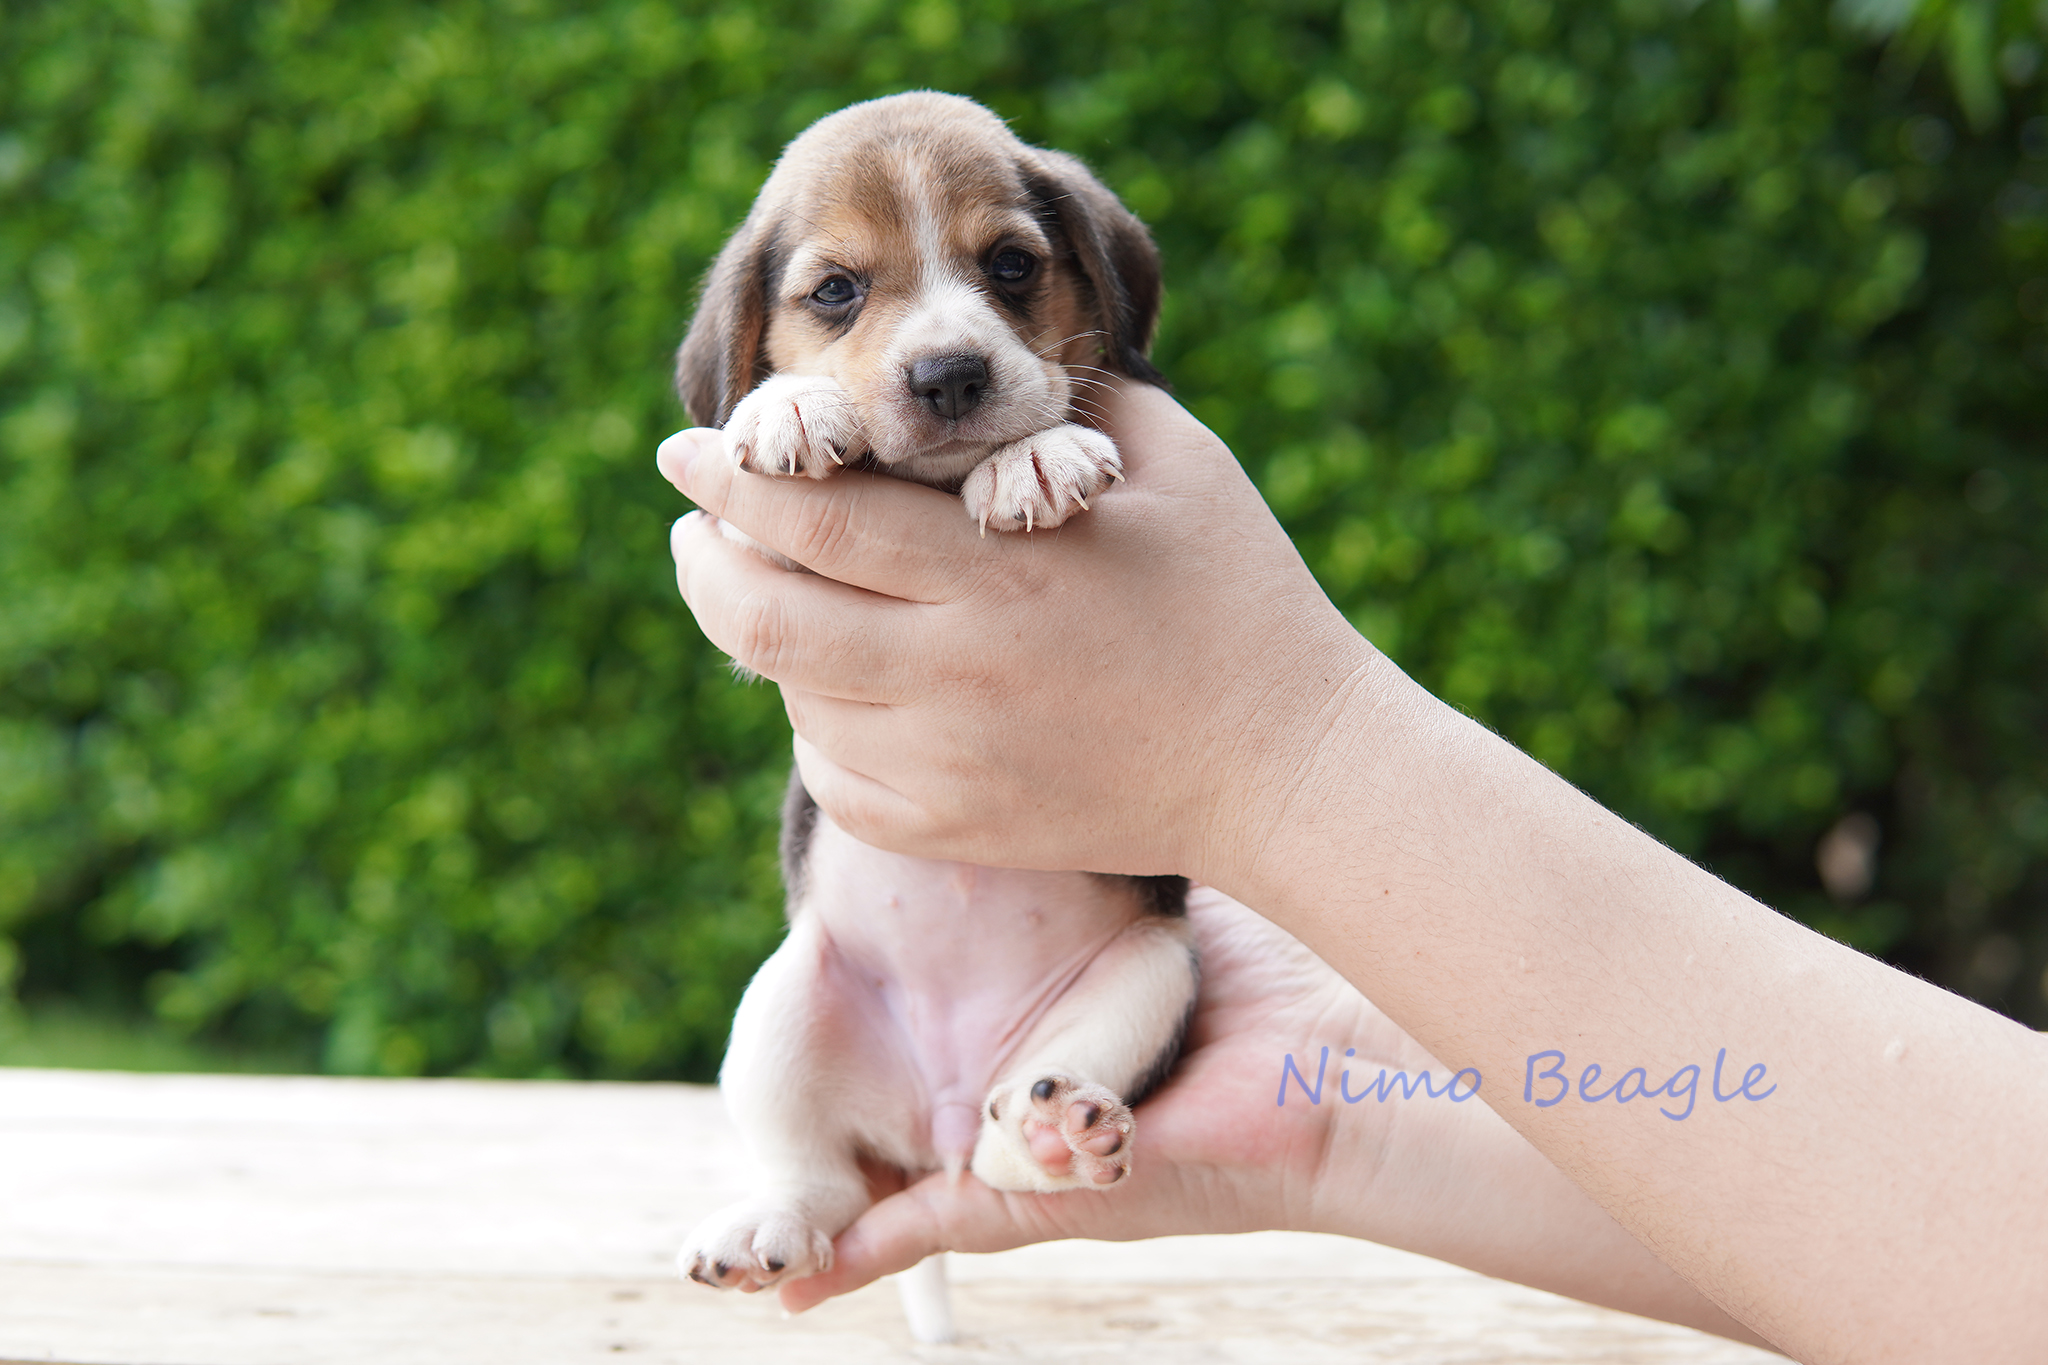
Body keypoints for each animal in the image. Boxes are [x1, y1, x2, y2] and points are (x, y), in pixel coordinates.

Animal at [670, 93, 1199, 1341]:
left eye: (1010, 264)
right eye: (834, 292)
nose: (951, 373)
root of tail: (936, 1125)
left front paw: (1037, 455)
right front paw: (790, 404)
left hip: (1154, 975)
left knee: (1016, 1159)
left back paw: (1054, 1134)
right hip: (778, 1005)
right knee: (817, 1178)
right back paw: (768, 1223)